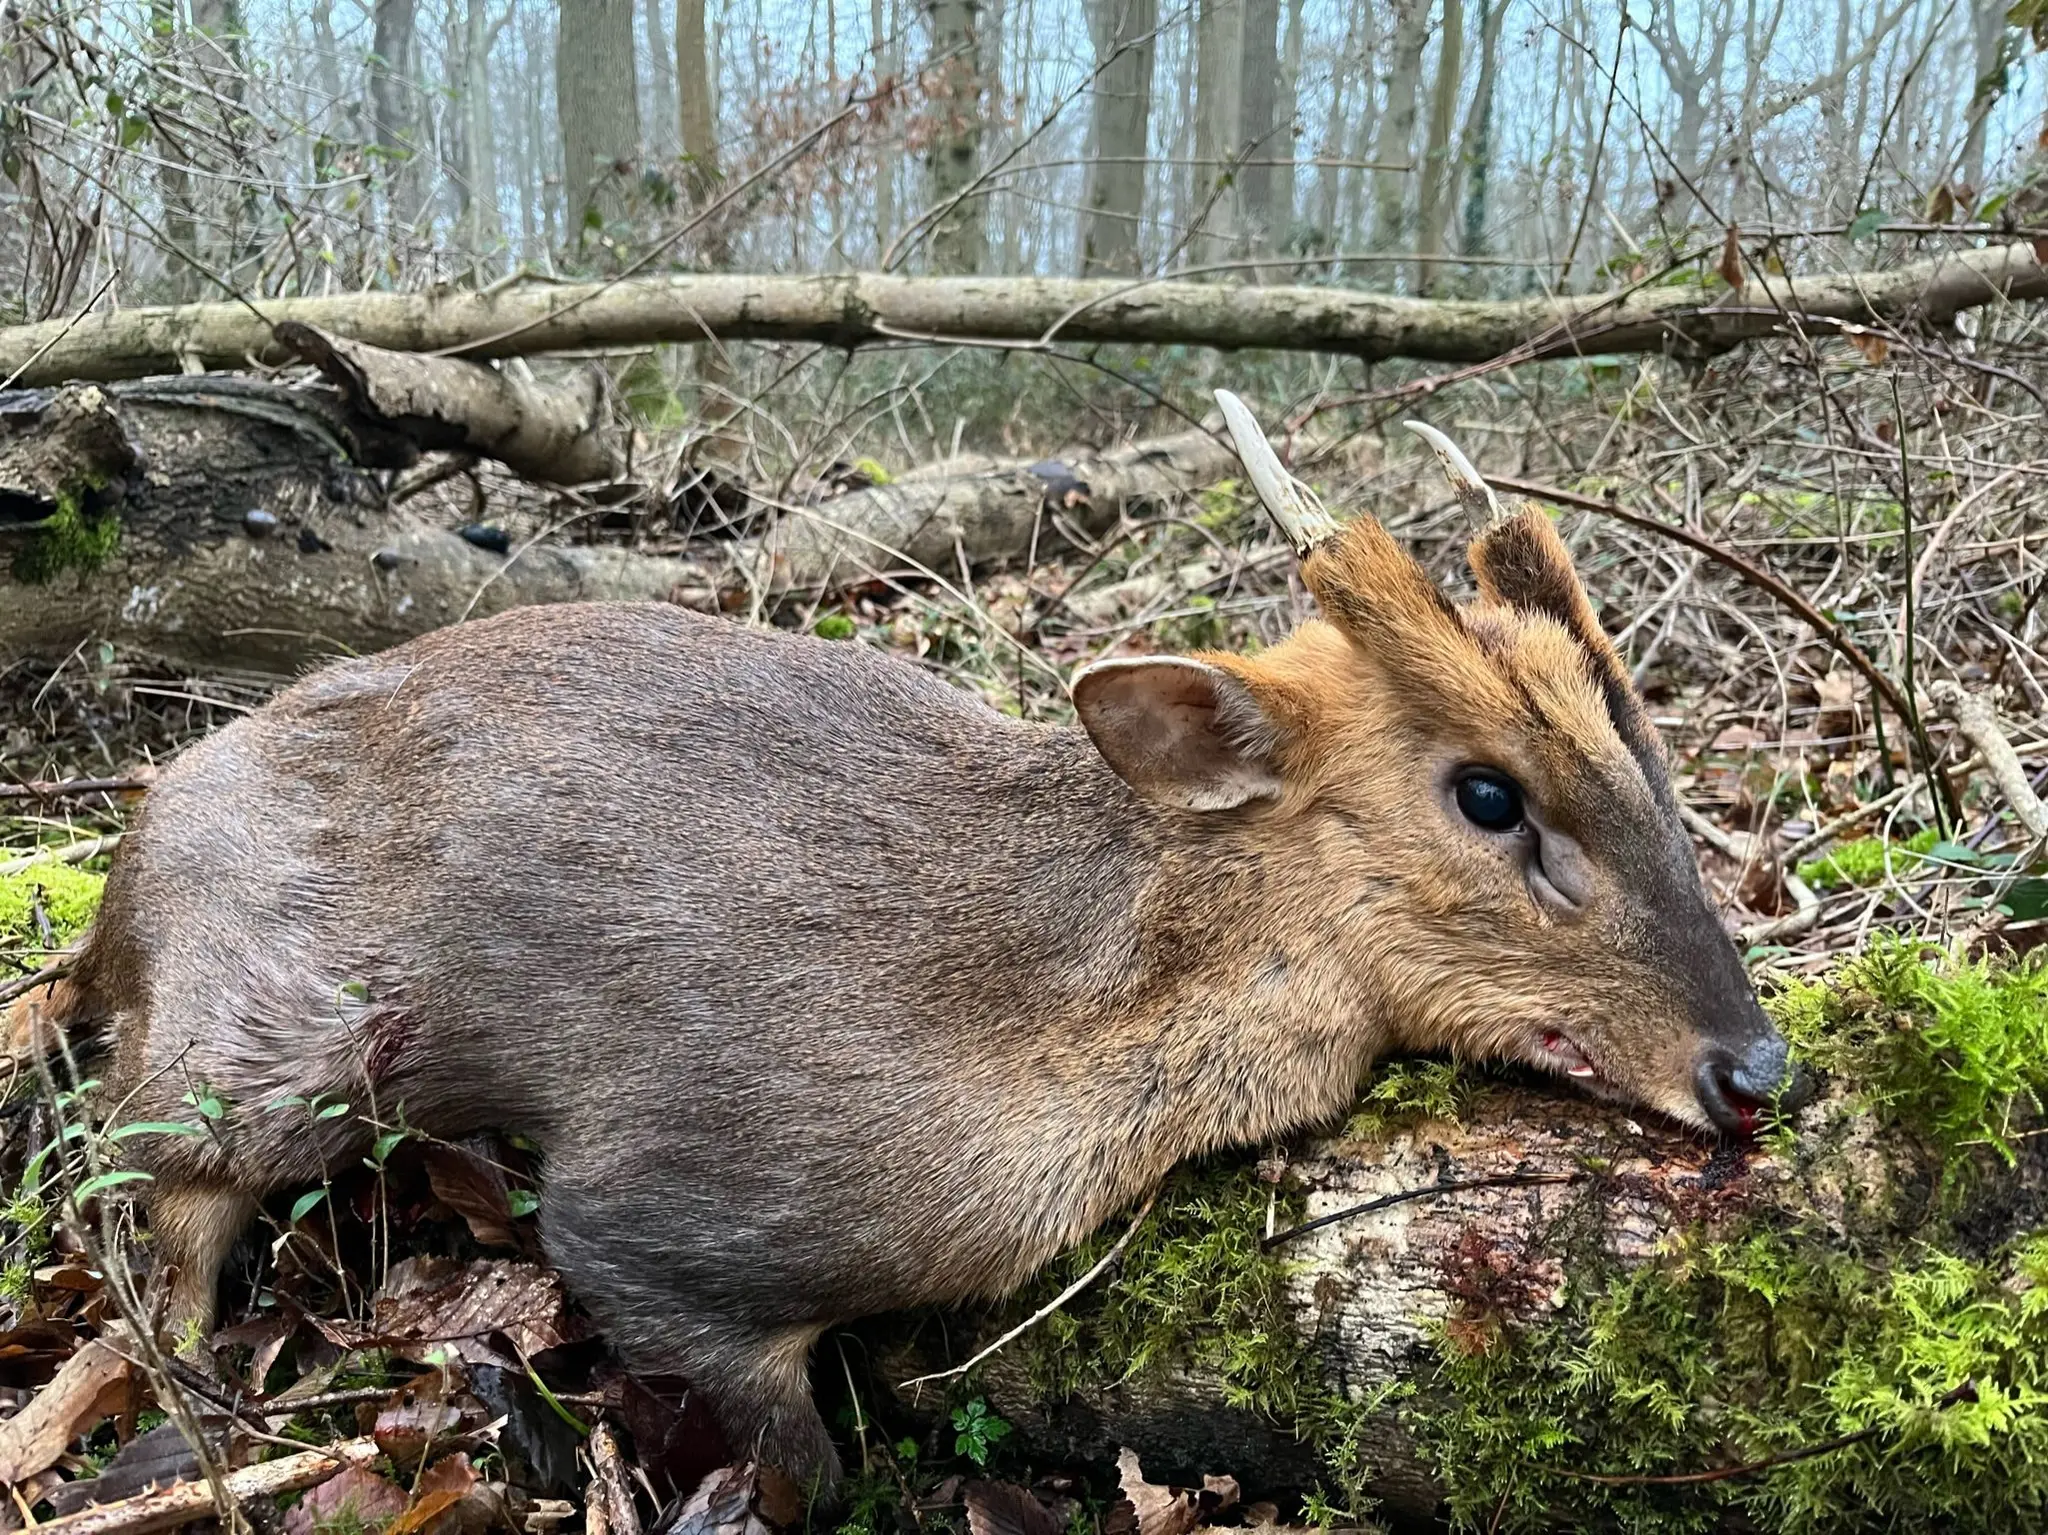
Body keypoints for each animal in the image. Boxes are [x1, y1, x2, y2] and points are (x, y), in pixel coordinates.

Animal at [9, 396, 1806, 1493]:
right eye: (1487, 793)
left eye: (1647, 751)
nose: (1754, 1065)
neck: (1061, 1009)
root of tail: (114, 885)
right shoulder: (675, 1193)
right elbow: (794, 1456)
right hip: (254, 1046)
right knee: (138, 1197)